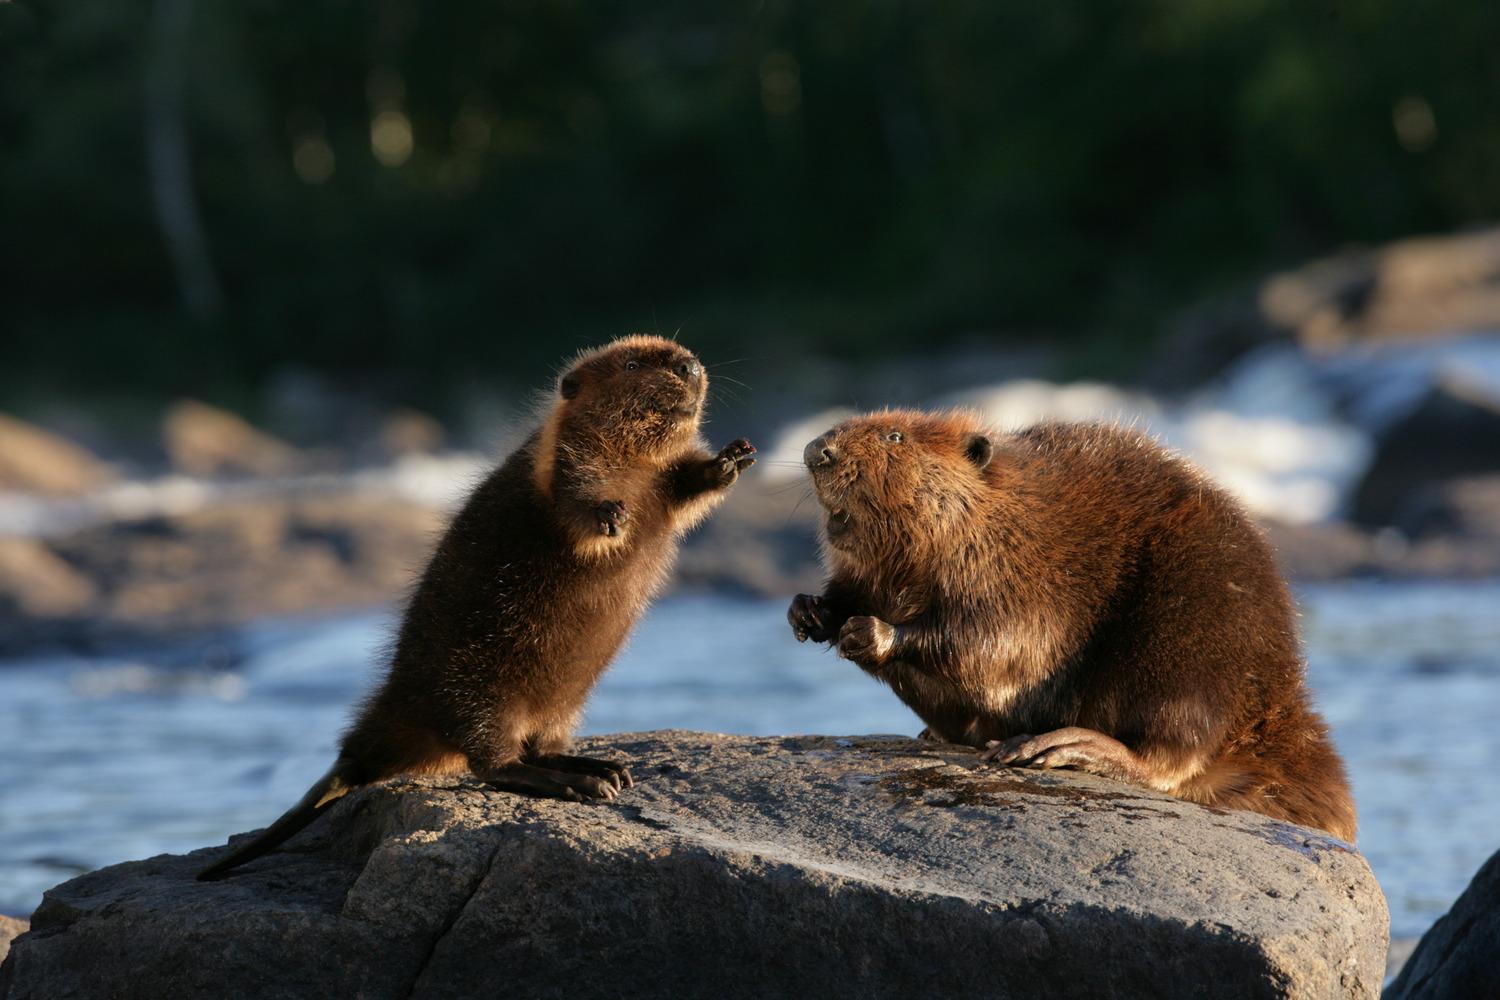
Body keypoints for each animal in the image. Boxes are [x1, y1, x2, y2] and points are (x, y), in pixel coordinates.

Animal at [199, 334, 756, 875]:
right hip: (481, 691)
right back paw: (584, 784)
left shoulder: (658, 478)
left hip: (559, 705)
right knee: (493, 763)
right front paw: (611, 516)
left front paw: (733, 458)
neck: (635, 465)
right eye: (633, 364)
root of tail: (358, 755)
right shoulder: (558, 460)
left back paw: (605, 767)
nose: (689, 366)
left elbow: (685, 489)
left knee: (540, 747)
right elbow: (574, 500)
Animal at [792, 410, 1356, 839]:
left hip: (1192, 641)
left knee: (1168, 754)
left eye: (895, 436)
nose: (817, 450)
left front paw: (872, 632)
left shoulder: (1019, 568)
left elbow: (989, 642)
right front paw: (809, 611)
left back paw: (1058, 746)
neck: (999, 508)